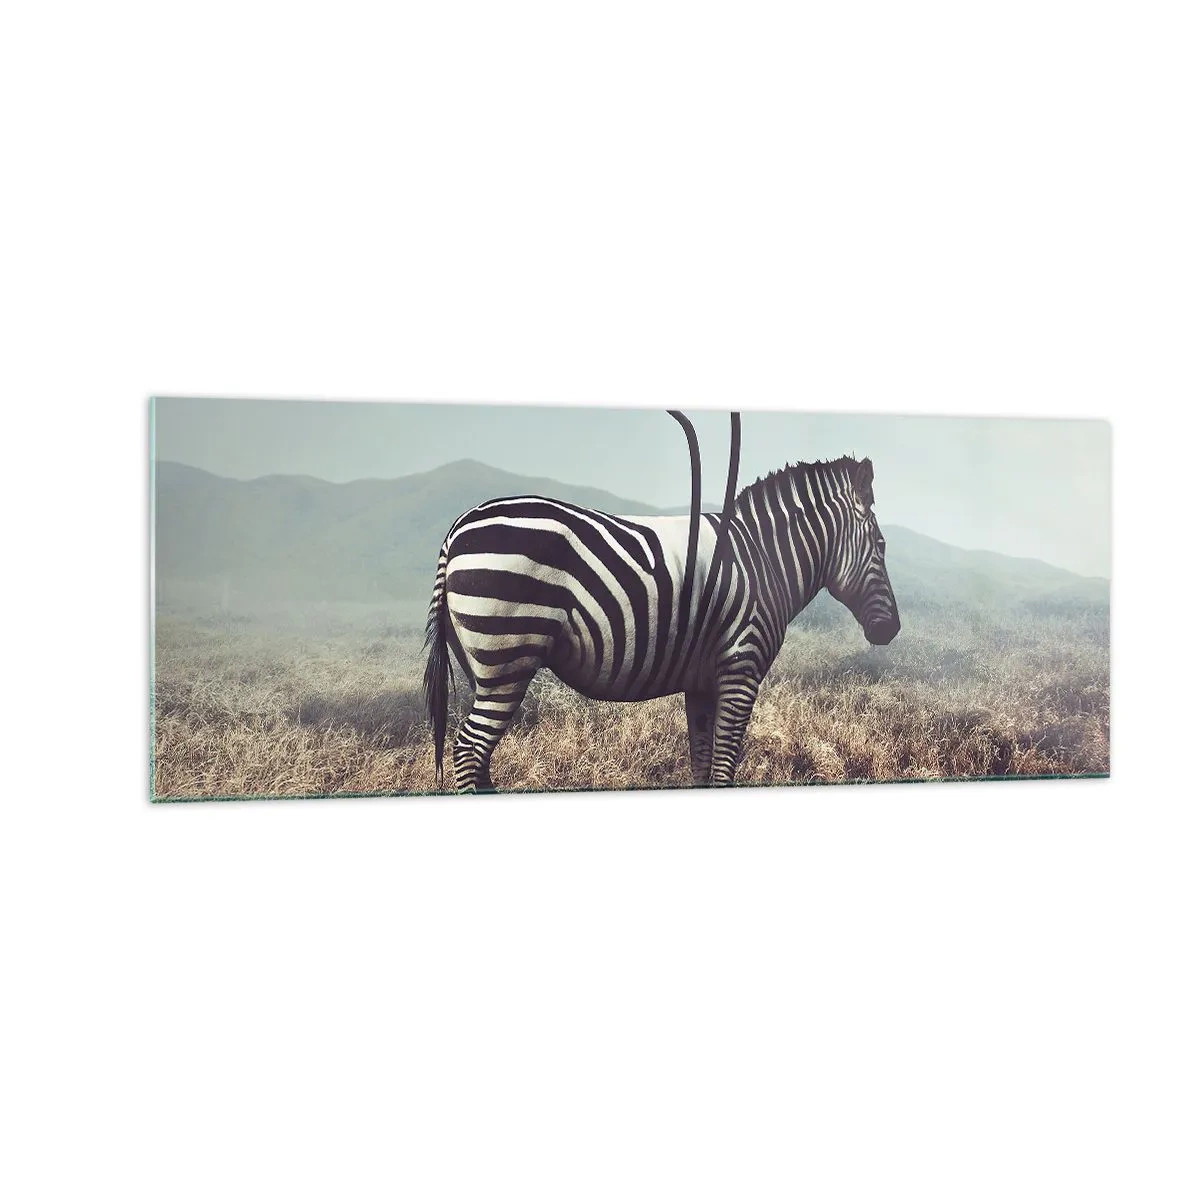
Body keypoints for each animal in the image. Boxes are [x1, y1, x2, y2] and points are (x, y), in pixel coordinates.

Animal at [423, 454, 900, 792]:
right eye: (881, 545)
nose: (891, 630)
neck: (762, 559)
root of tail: (458, 528)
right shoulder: (740, 669)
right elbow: (724, 767)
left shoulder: (703, 680)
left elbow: (703, 766)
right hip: (508, 656)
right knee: (469, 748)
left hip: (482, 666)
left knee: (478, 753)